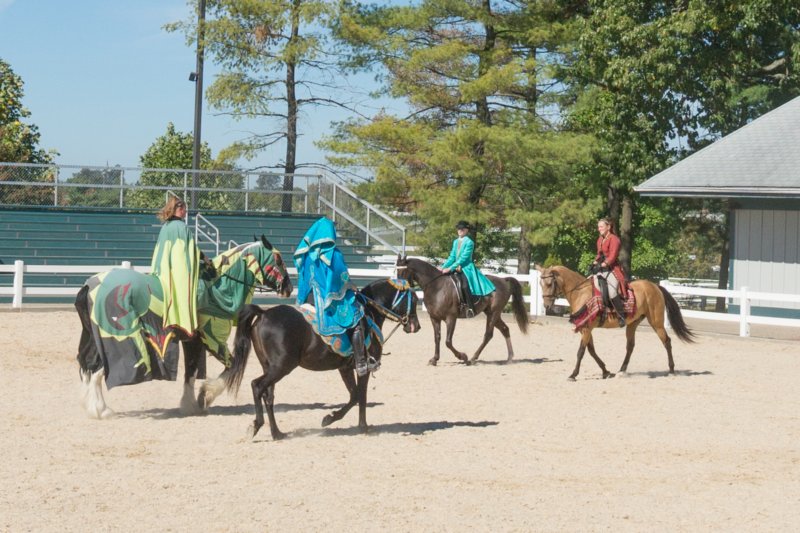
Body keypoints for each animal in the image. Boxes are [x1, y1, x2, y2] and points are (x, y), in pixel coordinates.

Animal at [225, 276, 422, 438]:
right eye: (414, 300)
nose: (416, 326)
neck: (369, 314)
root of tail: (264, 313)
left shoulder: (345, 368)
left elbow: (354, 396)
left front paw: (330, 418)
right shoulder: (363, 368)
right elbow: (361, 396)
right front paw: (362, 426)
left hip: (270, 367)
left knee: (269, 396)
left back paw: (277, 433)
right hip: (281, 367)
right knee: (257, 386)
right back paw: (256, 426)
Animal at [396, 255, 532, 364]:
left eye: (403, 272)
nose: (399, 290)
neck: (436, 287)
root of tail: (503, 280)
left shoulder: (451, 318)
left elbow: (448, 341)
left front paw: (463, 356)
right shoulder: (434, 318)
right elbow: (437, 338)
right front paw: (434, 359)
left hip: (493, 313)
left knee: (488, 334)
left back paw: (473, 358)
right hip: (492, 313)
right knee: (505, 329)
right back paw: (509, 358)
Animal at [536, 264, 696, 380]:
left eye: (549, 283)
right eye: (540, 283)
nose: (546, 306)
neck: (581, 293)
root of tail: (655, 286)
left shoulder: (587, 329)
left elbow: (581, 352)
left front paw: (573, 374)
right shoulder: (585, 329)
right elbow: (591, 351)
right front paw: (606, 371)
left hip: (656, 322)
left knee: (666, 341)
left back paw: (671, 370)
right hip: (632, 324)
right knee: (630, 346)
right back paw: (621, 370)